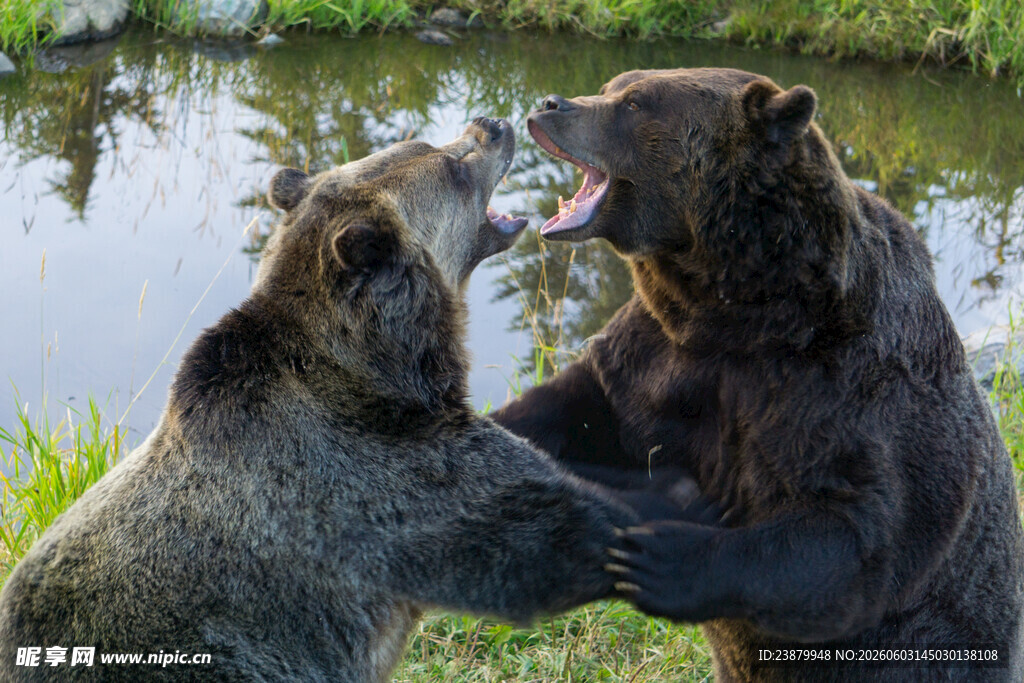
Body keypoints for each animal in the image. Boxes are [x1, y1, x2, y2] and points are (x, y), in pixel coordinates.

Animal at [0, 118, 693, 682]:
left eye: (430, 142)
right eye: (451, 164)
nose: (492, 125)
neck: (382, 368)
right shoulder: (382, 477)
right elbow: (531, 531)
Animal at [492, 68, 1024, 681]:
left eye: (636, 103)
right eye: (613, 86)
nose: (550, 103)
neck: (744, 310)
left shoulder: (851, 388)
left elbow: (854, 539)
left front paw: (660, 553)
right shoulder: (665, 355)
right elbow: (582, 405)